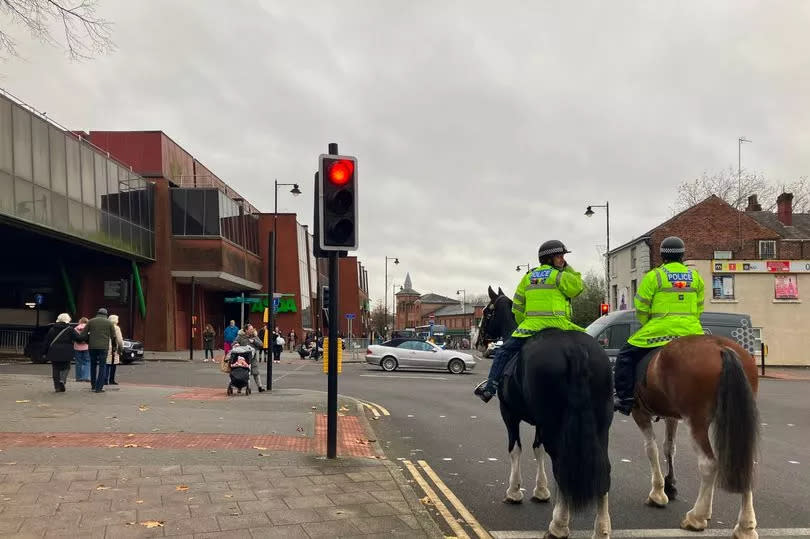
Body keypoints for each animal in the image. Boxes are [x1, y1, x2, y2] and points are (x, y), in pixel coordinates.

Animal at [474, 284, 612, 536]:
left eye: (487, 312)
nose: (479, 342)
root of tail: (575, 350)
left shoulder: (509, 413)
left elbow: (516, 448)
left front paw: (514, 492)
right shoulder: (539, 421)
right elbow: (537, 449)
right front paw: (540, 491)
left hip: (553, 422)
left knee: (561, 465)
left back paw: (558, 525)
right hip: (600, 423)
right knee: (603, 470)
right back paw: (601, 529)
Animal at [632, 338, 756, 539]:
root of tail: (721, 347)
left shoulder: (639, 412)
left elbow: (651, 449)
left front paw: (658, 493)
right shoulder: (671, 416)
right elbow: (669, 447)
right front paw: (670, 485)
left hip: (696, 422)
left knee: (709, 464)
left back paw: (696, 517)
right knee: (744, 465)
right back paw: (745, 526)